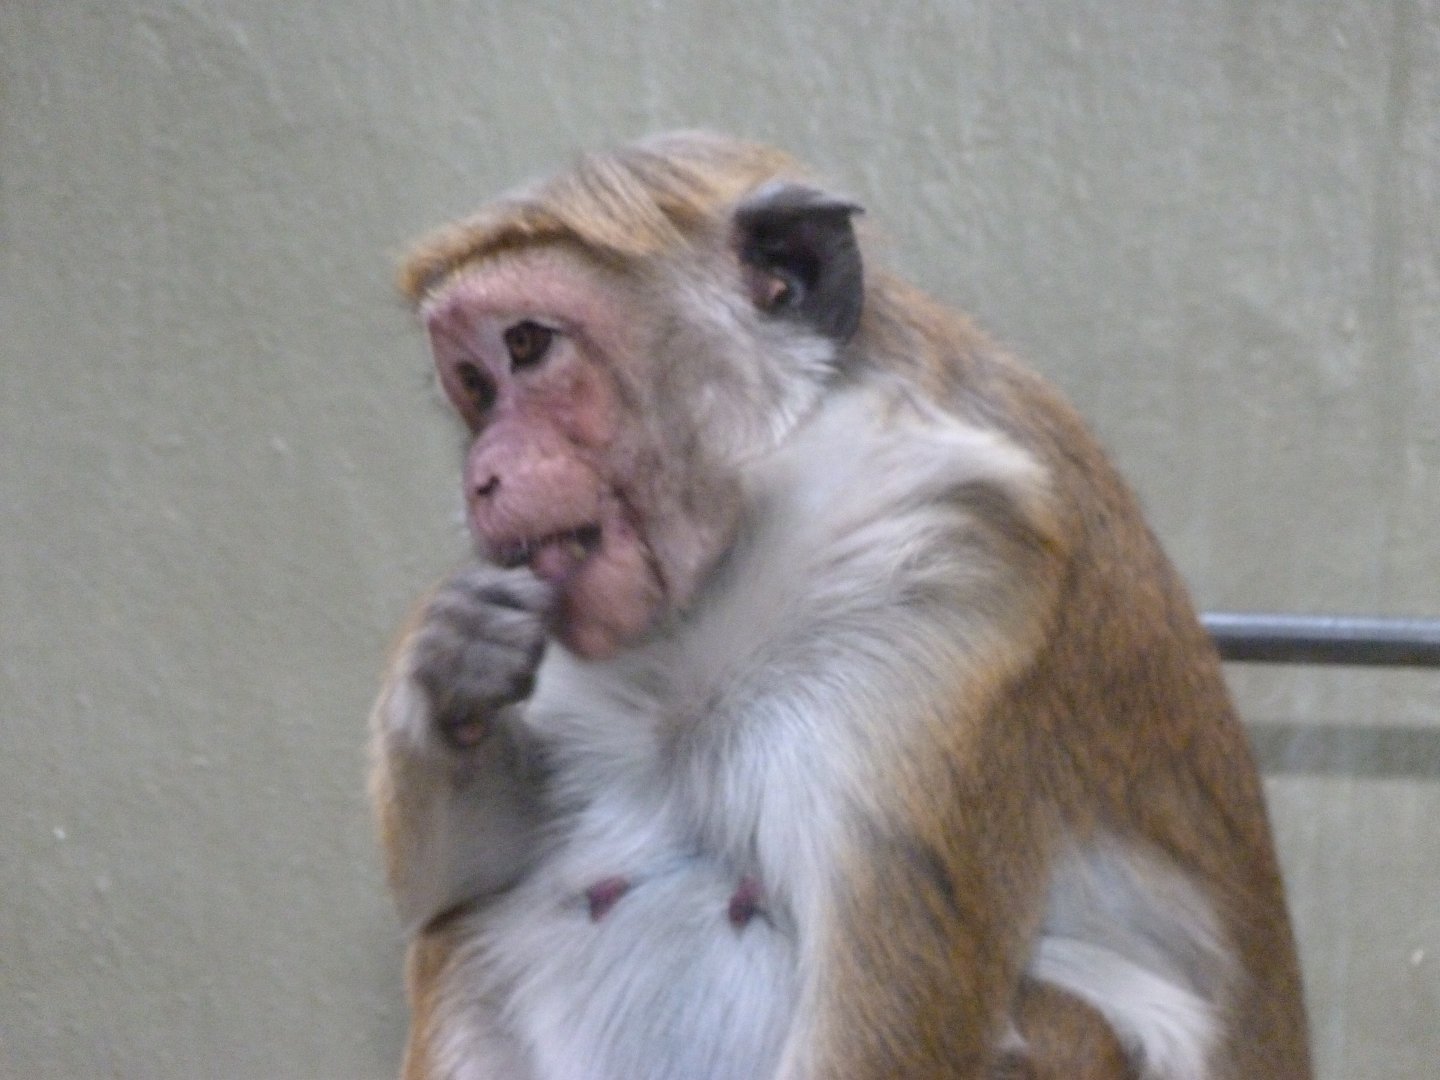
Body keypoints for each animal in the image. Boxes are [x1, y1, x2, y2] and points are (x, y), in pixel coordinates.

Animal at [369, 132, 1311, 1080]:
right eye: (474, 384)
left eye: (529, 346)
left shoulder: (947, 577)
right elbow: (468, 867)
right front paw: (450, 664)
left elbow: (879, 1035)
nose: (482, 476)